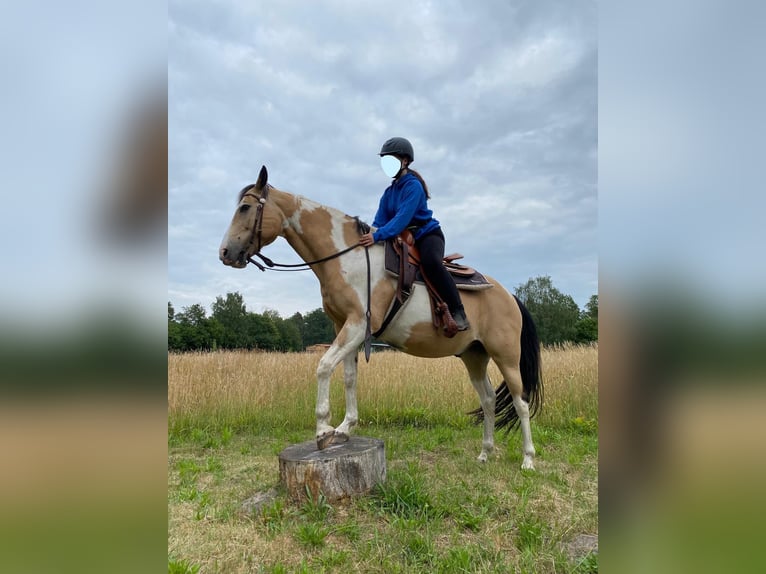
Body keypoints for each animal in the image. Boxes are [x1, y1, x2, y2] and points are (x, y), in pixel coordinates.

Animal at [220, 168, 544, 472]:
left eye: (245, 208)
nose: (225, 253)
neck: (347, 258)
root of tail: (510, 296)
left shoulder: (358, 324)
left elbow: (324, 367)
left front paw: (323, 431)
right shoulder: (344, 327)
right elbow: (349, 376)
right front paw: (344, 429)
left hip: (506, 356)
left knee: (521, 402)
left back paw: (528, 459)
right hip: (474, 356)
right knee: (488, 400)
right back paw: (485, 453)